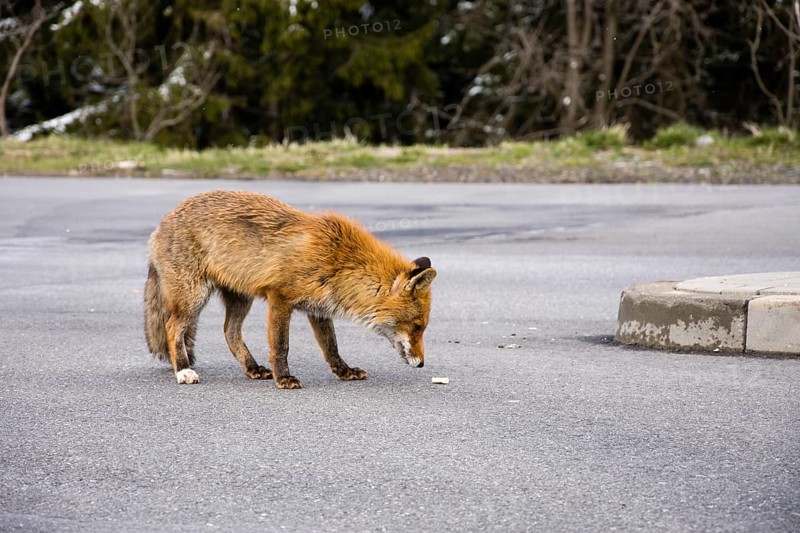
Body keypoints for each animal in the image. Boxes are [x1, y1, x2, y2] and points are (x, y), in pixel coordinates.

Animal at [144, 190, 436, 388]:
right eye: (417, 326)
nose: (422, 363)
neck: (340, 261)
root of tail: (162, 221)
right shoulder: (280, 298)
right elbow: (281, 345)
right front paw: (283, 377)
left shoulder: (319, 309)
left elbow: (331, 347)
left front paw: (344, 372)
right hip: (193, 297)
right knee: (172, 327)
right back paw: (183, 370)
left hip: (240, 298)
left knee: (230, 332)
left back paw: (252, 368)